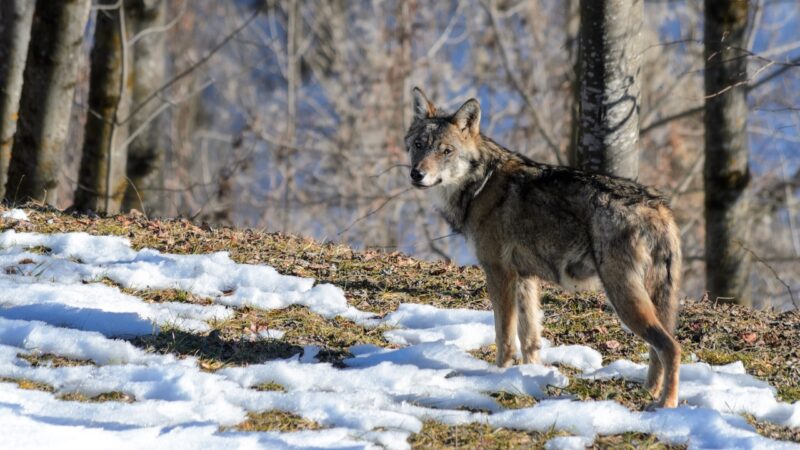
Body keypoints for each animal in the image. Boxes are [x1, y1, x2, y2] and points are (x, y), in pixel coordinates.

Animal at [404, 88, 682, 409]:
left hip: (623, 298)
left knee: (671, 347)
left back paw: (666, 405)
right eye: (419, 145)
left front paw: (498, 376)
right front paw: (532, 376)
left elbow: (504, 337)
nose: (416, 174)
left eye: (445, 151)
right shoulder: (525, 278)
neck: (480, 186)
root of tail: (658, 207)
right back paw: (649, 393)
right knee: (657, 349)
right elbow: (530, 339)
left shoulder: (500, 274)